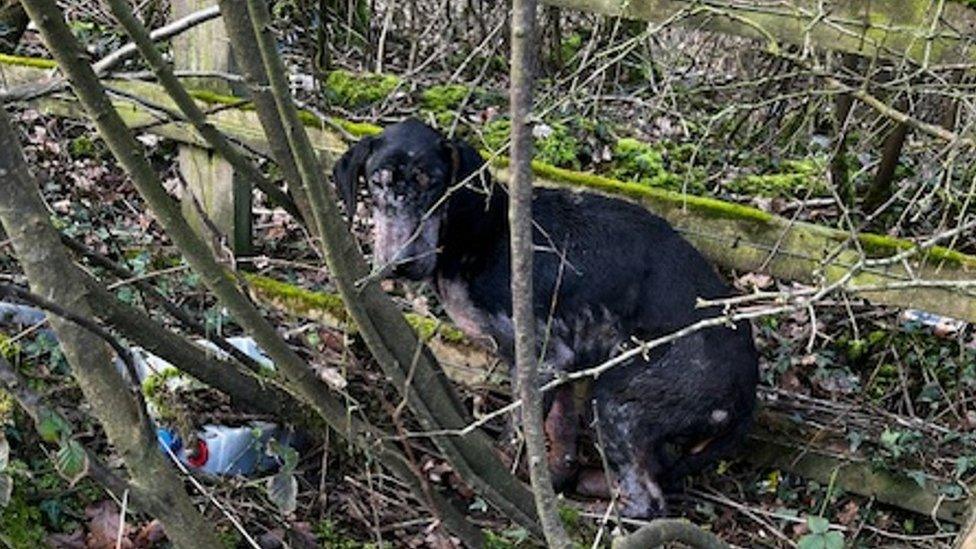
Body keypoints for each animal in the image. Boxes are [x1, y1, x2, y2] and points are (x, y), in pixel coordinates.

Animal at [332, 117, 760, 516]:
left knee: (648, 501)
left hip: (618, 397)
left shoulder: (543, 361)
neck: (479, 231)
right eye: (377, 182)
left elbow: (516, 432)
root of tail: (748, 392)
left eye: (435, 183)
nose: (400, 263)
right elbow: (560, 441)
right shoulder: (565, 365)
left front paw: (497, 484)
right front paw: (550, 486)